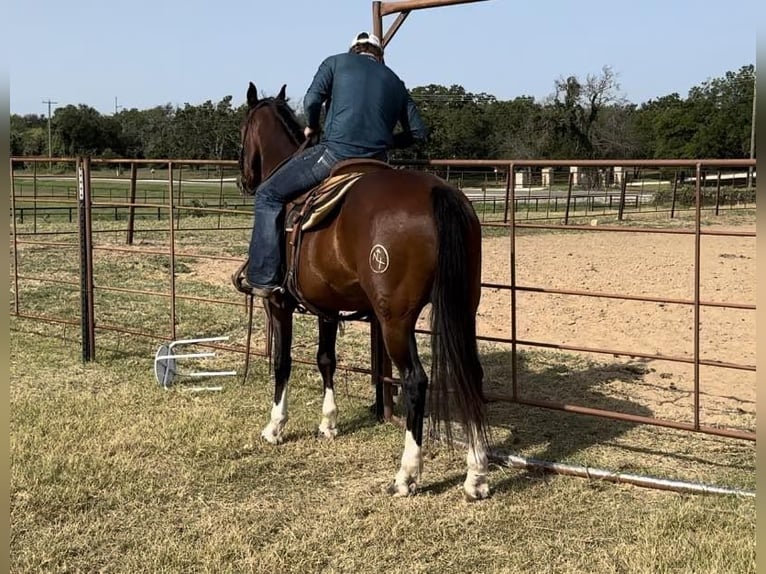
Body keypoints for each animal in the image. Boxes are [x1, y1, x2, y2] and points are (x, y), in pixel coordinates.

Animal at [236, 81, 490, 499]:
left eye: (242, 132)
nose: (244, 180)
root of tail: (439, 193)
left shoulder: (279, 303)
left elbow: (283, 362)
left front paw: (275, 426)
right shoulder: (325, 306)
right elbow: (326, 358)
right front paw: (328, 423)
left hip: (395, 321)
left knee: (416, 380)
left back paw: (406, 475)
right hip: (463, 308)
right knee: (470, 374)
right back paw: (477, 476)